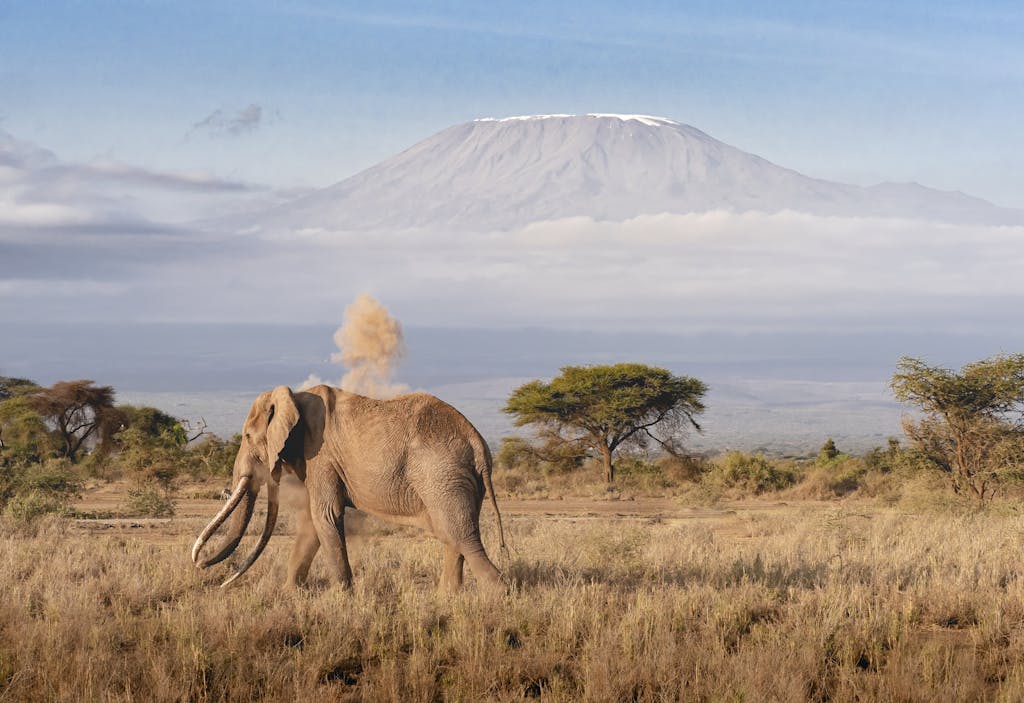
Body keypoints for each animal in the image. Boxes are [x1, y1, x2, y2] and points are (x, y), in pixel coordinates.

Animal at [189, 386, 507, 589]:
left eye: (246, 436)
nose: (202, 567)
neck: (294, 396)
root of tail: (478, 443)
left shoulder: (321, 455)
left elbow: (325, 516)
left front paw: (343, 597)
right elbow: (312, 523)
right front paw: (289, 594)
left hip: (443, 475)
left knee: (461, 536)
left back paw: (498, 595)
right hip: (456, 480)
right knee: (451, 535)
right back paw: (447, 599)